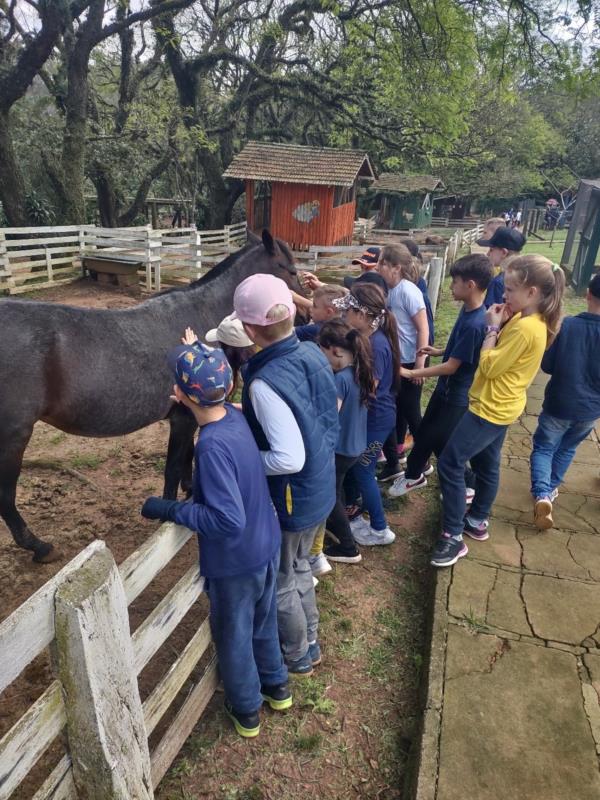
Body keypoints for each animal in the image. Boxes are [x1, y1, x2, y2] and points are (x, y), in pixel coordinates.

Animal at [0, 228, 302, 564]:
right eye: (292, 271)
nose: (303, 315)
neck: (199, 320)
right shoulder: (182, 419)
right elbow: (173, 467)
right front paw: (168, 518)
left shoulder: (186, 417)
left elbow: (187, 457)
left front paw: (190, 489)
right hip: (14, 436)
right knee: (6, 498)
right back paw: (39, 546)